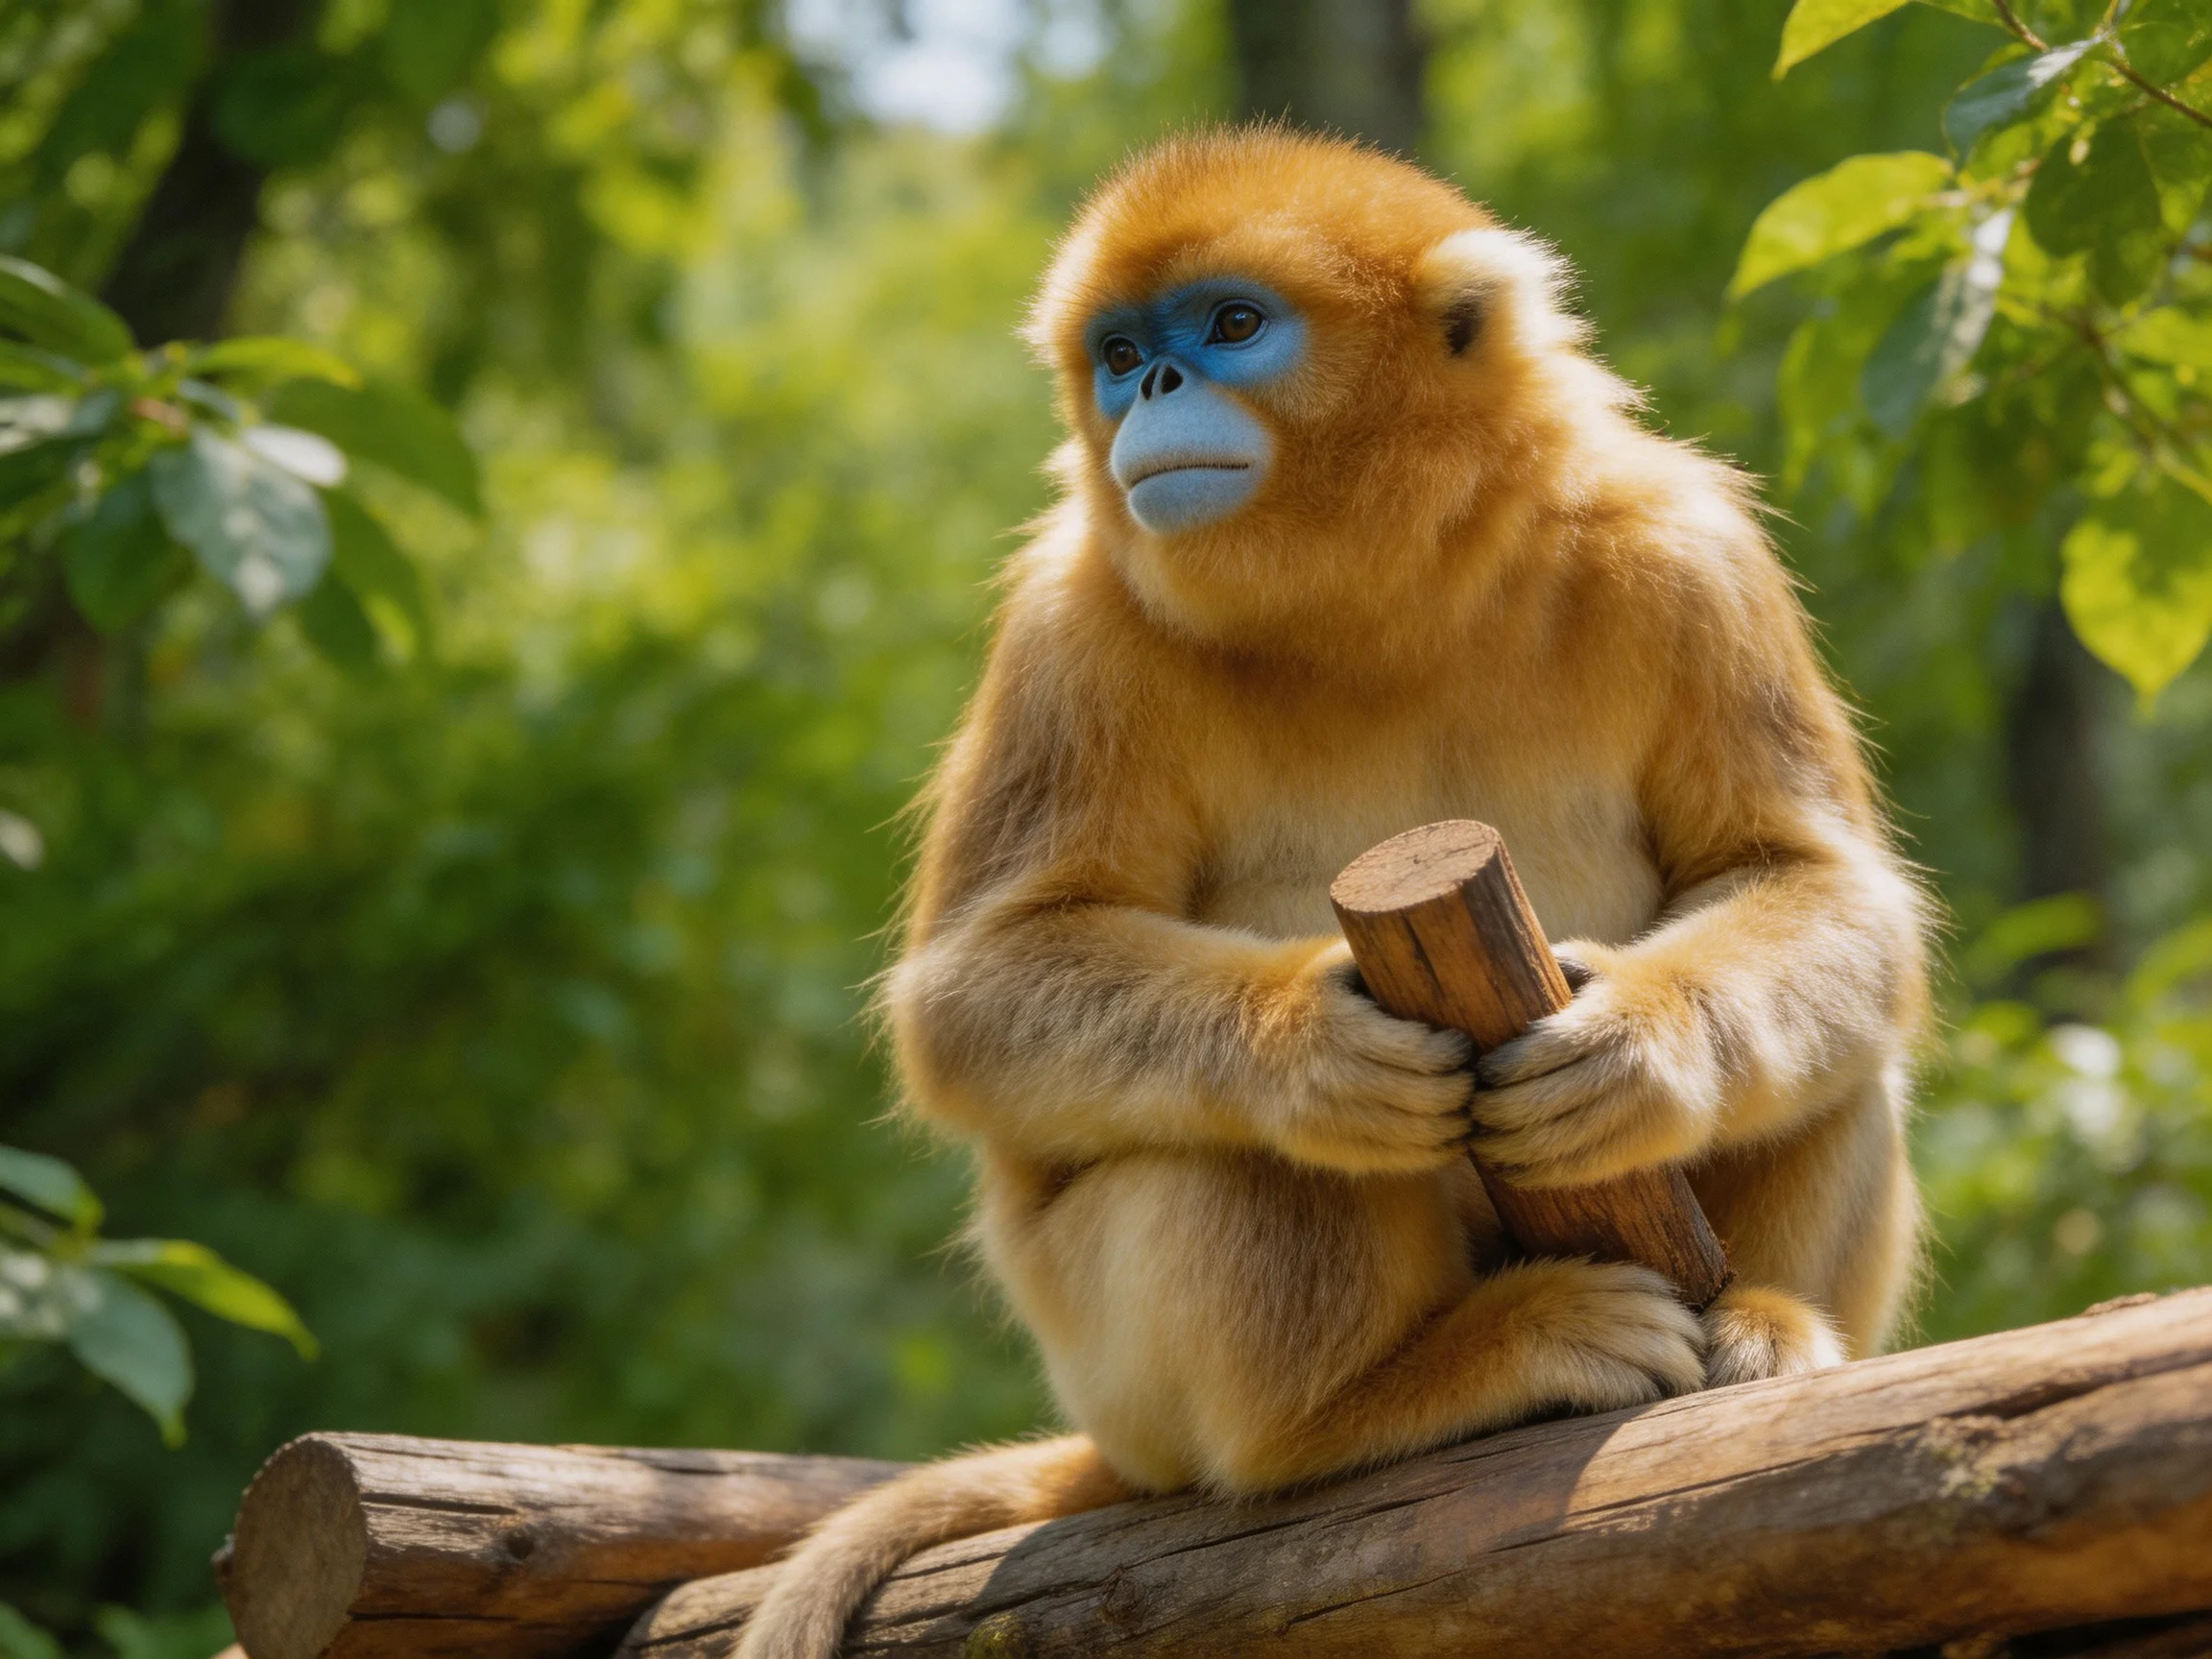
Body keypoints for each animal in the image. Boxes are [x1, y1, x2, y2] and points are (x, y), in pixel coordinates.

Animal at [733, 127, 1928, 1659]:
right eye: (1119, 351)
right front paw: (1310, 1046)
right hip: (1113, 1369)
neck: (1384, 598)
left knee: (1837, 1058)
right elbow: (972, 992)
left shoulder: (1689, 545)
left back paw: (1756, 1320)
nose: (1153, 388)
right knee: (1243, 1153)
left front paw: (1634, 1051)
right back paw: (1378, 1402)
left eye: (1232, 326)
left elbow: (1812, 881)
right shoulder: (1071, 621)